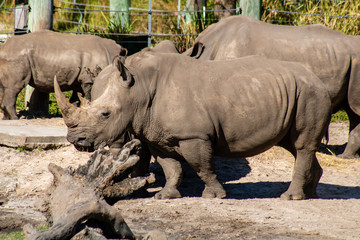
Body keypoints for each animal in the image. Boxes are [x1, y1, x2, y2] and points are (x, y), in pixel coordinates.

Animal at [54, 50, 332, 201]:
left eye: (105, 114)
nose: (75, 140)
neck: (139, 88)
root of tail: (316, 78)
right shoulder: (158, 135)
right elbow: (171, 167)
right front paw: (165, 196)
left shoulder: (193, 136)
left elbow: (202, 166)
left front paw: (214, 196)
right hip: (297, 92)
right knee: (295, 146)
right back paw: (311, 195)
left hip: (310, 94)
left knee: (302, 145)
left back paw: (291, 197)